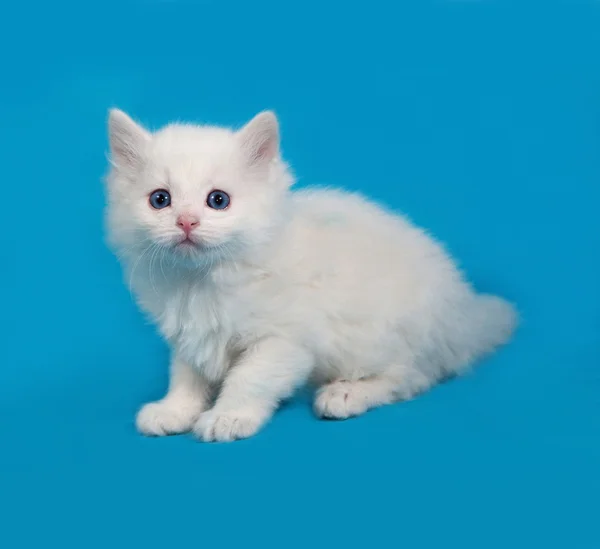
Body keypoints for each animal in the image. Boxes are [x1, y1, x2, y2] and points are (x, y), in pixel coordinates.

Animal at [103, 109, 516, 444]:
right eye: (160, 200)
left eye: (218, 200)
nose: (187, 222)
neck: (203, 280)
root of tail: (460, 313)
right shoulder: (190, 335)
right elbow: (186, 376)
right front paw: (174, 410)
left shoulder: (283, 340)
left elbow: (248, 378)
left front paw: (228, 417)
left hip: (381, 336)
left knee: (411, 377)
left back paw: (345, 394)